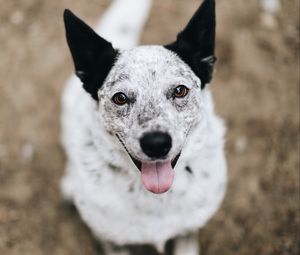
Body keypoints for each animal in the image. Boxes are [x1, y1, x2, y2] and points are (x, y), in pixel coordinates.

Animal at [60, 0, 225, 254]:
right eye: (120, 98)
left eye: (180, 91)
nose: (156, 144)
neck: (154, 197)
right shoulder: (112, 240)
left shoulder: (188, 230)